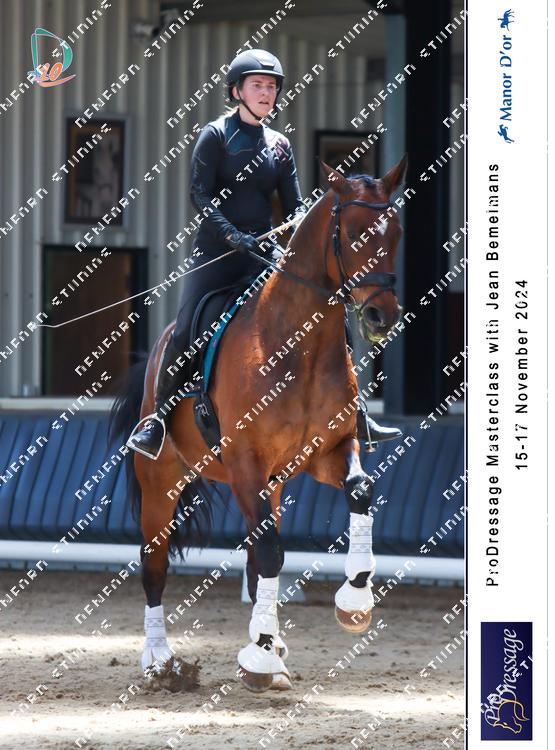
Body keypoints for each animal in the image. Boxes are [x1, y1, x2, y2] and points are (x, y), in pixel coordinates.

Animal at [110, 155, 407, 693]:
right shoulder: (246, 464)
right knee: (155, 567)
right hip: (162, 483)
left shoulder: (330, 450)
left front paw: (354, 601)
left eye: (395, 231)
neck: (298, 345)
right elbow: (270, 553)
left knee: (254, 557)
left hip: (272, 483)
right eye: (353, 233)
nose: (381, 315)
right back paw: (160, 661)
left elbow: (359, 491)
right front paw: (261, 656)